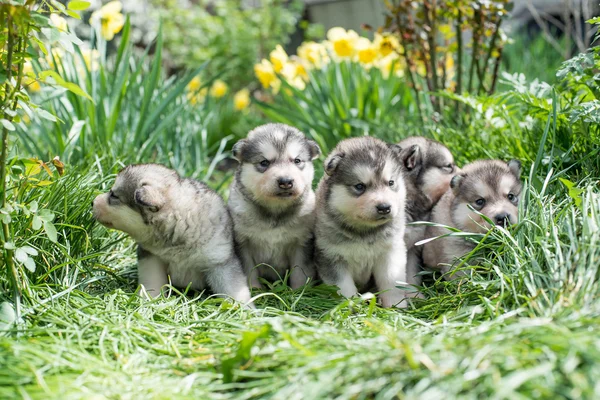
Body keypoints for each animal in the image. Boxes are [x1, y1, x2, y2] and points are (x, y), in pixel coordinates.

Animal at [92, 162, 253, 306]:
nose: (93, 202)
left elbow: (233, 288)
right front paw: (148, 299)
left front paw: (244, 309)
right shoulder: (151, 257)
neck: (179, 223)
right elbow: (152, 279)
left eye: (114, 195)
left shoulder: (220, 262)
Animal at [227, 123, 322, 290]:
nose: (286, 181)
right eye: (264, 162)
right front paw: (255, 289)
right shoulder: (243, 242)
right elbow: (249, 270)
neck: (275, 211)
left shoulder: (302, 241)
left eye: (297, 161)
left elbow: (300, 270)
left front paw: (299, 291)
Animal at [314, 136, 408, 308]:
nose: (384, 207)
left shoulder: (390, 252)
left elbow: (391, 282)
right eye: (359, 186)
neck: (365, 231)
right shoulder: (331, 257)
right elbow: (344, 288)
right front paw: (351, 307)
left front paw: (396, 307)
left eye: (391, 183)